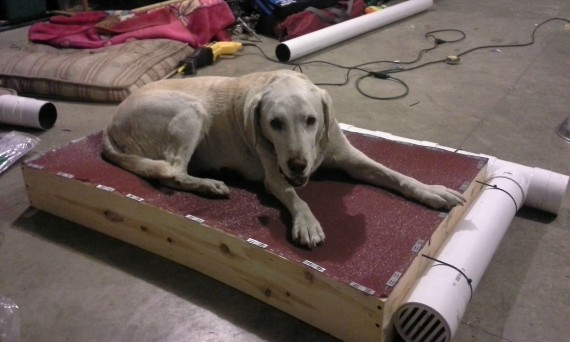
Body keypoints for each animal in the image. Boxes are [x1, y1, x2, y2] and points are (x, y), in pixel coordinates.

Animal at [102, 70, 464, 246]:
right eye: (275, 123)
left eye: (311, 120)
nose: (298, 165)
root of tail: (110, 122)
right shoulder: (275, 176)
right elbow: (293, 194)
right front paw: (307, 222)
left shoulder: (350, 157)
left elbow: (395, 174)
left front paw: (432, 190)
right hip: (191, 111)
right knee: (172, 169)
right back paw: (208, 185)